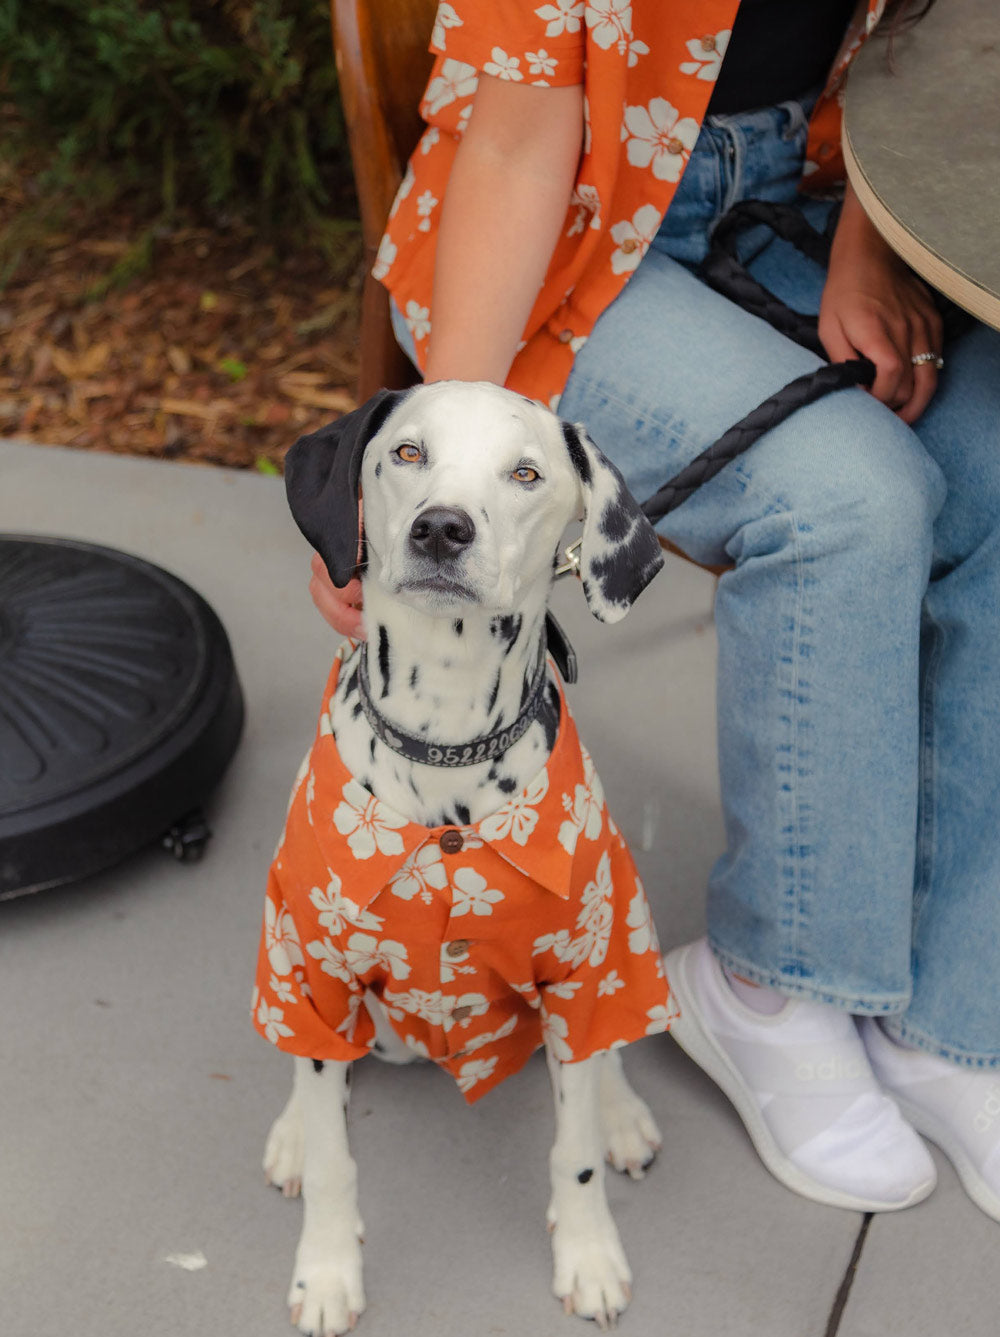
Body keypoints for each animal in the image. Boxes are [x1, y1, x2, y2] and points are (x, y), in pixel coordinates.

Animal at [263, 377, 671, 1337]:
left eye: (526, 473)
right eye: (407, 451)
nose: (442, 528)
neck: (444, 733)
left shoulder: (575, 968)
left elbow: (573, 1148)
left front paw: (588, 1253)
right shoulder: (318, 968)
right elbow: (336, 1159)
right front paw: (326, 1270)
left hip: (624, 911)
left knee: (612, 1037)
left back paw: (622, 1109)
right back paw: (295, 1124)